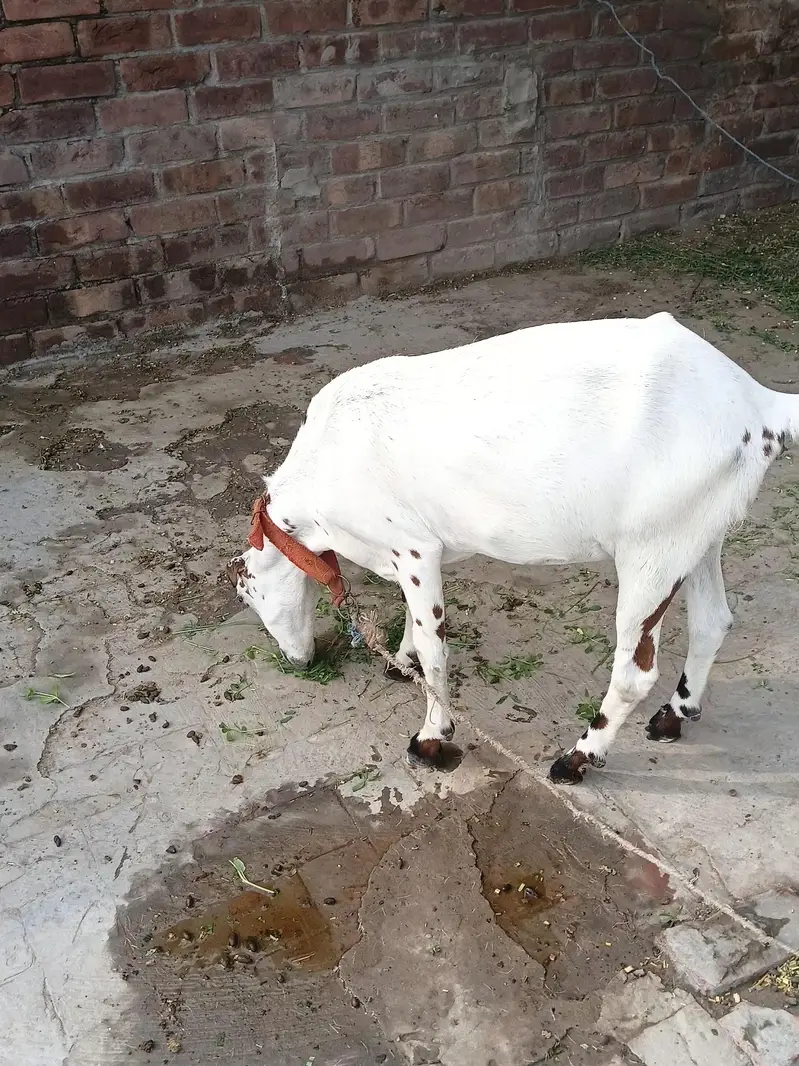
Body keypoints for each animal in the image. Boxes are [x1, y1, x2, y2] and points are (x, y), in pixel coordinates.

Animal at [227, 312, 797, 784]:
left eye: (249, 594)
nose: (297, 661)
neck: (320, 470)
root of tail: (758, 403)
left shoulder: (413, 548)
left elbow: (435, 649)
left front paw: (432, 737)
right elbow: (414, 624)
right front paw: (399, 659)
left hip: (653, 548)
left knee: (635, 672)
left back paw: (577, 758)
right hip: (700, 531)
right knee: (713, 620)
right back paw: (674, 716)